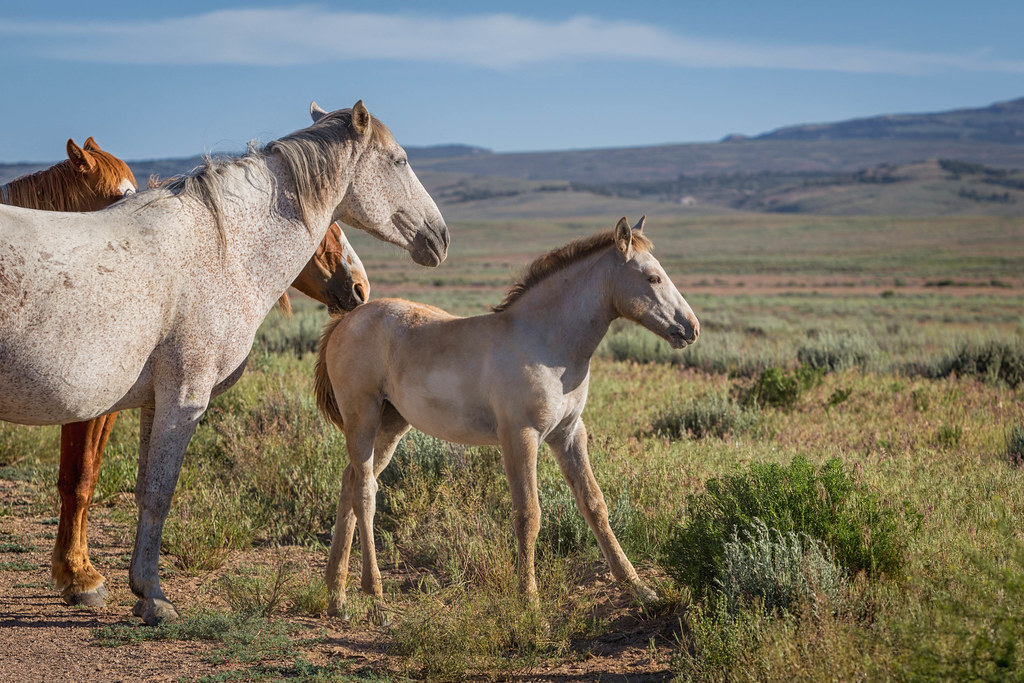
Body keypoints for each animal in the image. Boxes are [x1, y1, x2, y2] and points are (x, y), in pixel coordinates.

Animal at [314, 217, 699, 618]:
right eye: (653, 277)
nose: (691, 328)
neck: (548, 343)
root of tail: (347, 320)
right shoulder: (520, 436)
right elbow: (528, 514)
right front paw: (529, 600)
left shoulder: (569, 434)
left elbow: (595, 505)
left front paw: (639, 588)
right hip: (363, 418)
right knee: (365, 493)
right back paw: (373, 593)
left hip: (391, 425)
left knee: (351, 483)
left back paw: (336, 594)